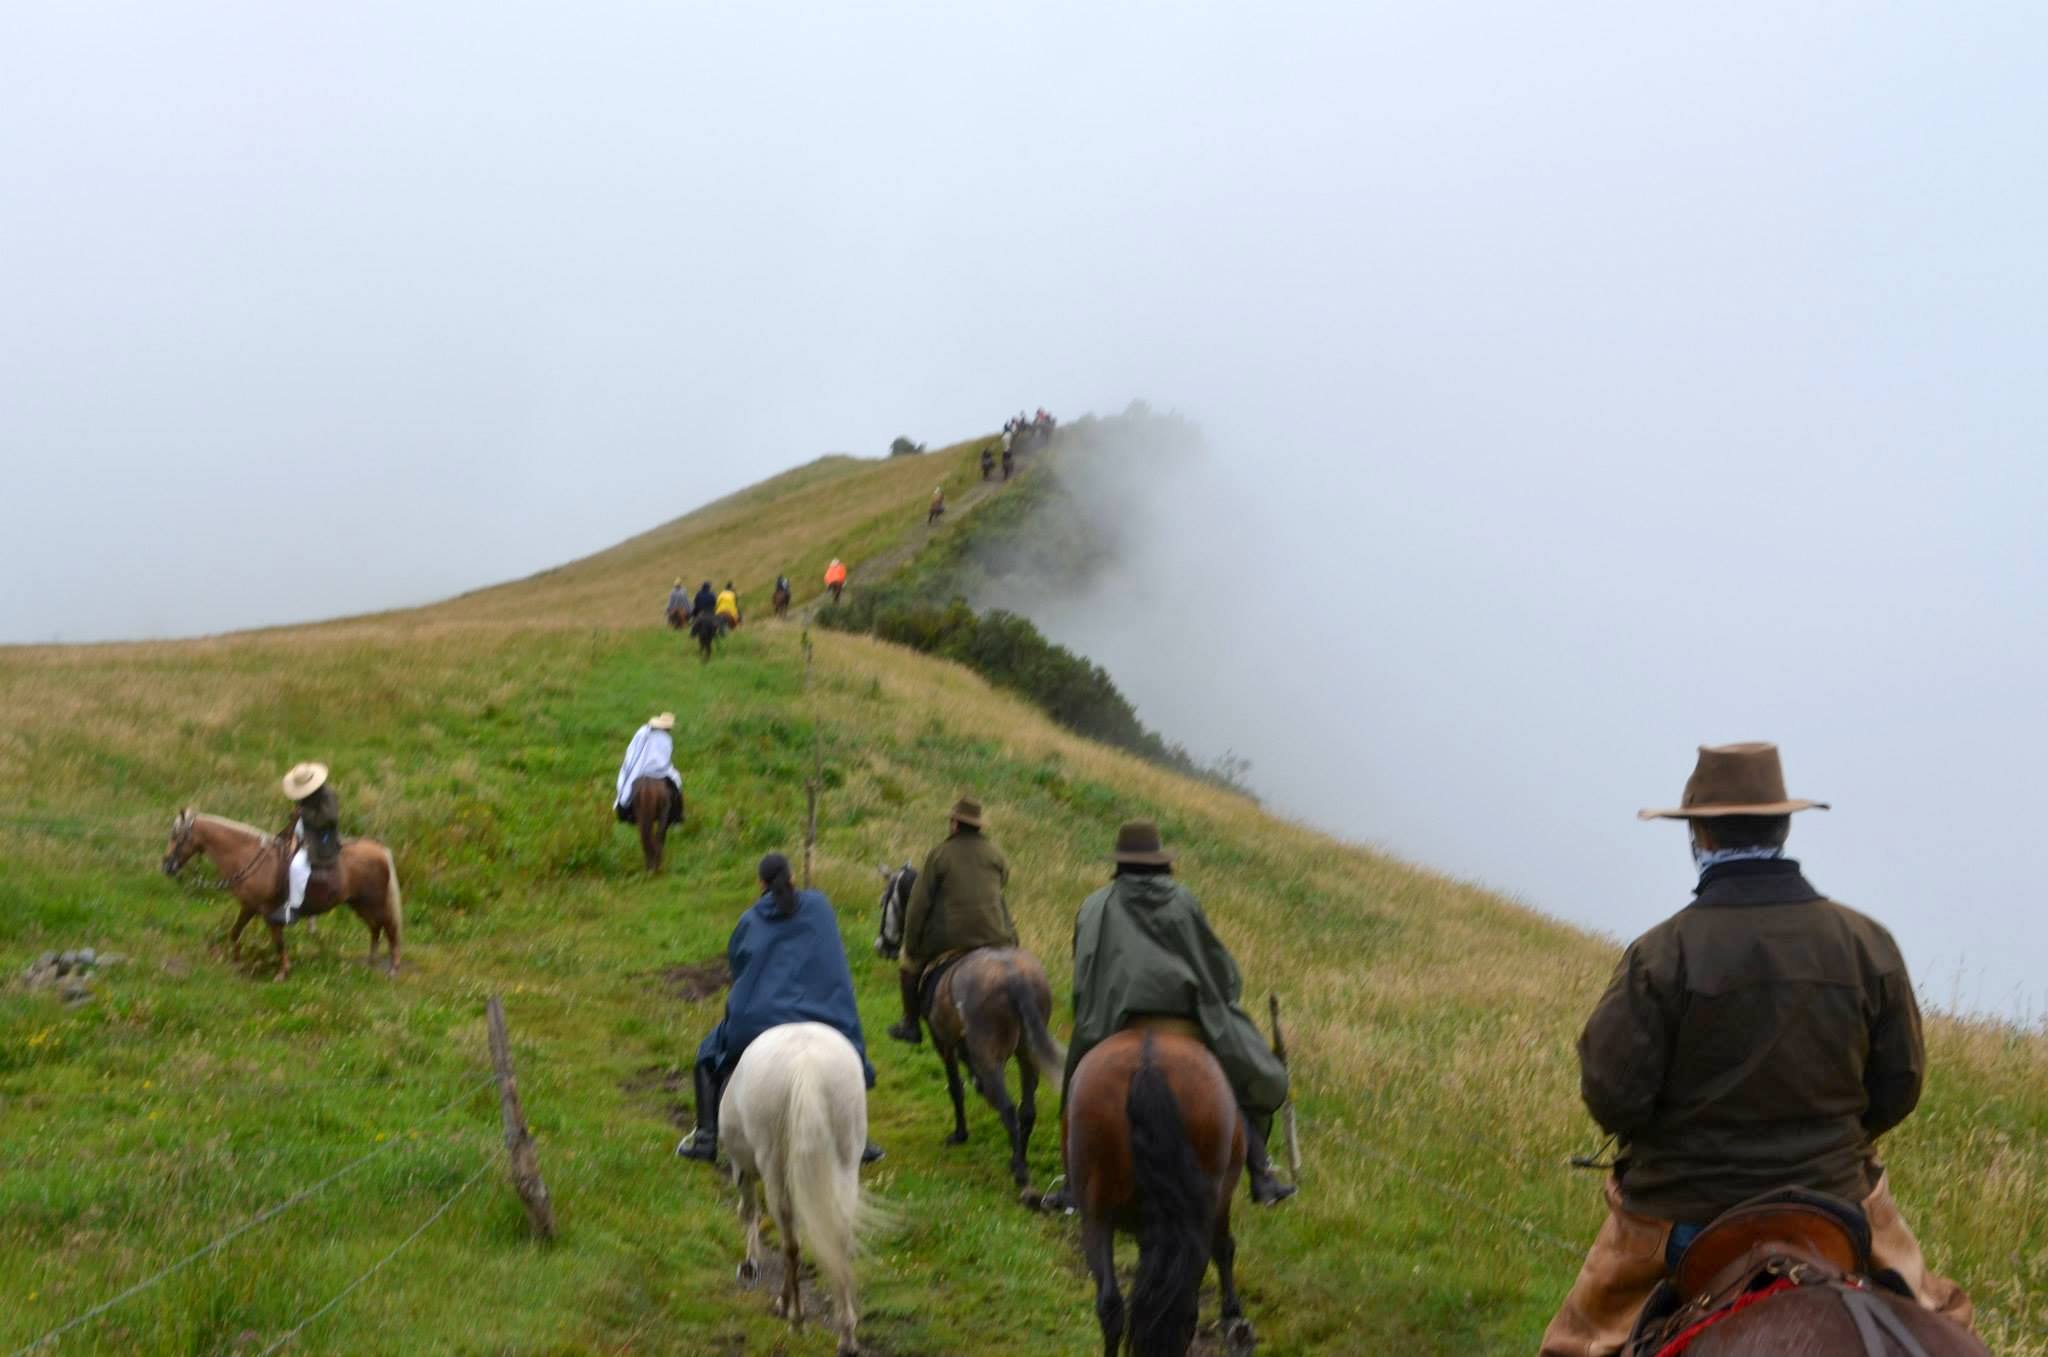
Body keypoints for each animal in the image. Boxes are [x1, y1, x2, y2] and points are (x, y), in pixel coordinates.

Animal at [161, 806, 401, 978]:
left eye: (176, 836)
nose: (167, 866)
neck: (247, 855)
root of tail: (379, 850)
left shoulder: (267, 911)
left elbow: (278, 942)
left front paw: (282, 972)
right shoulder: (249, 906)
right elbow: (235, 932)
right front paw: (236, 960)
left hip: (375, 903)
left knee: (390, 928)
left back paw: (393, 968)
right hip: (359, 904)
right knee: (375, 928)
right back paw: (371, 962)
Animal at [724, 1023, 868, 1350]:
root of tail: (807, 1068)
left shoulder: (743, 1167)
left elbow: (749, 1211)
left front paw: (752, 1263)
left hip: (773, 1167)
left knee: (791, 1243)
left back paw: (795, 1317)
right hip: (845, 1163)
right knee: (839, 1239)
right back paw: (847, 1335)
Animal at [872, 871, 1064, 1187]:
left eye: (885, 900)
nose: (882, 947)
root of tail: (1014, 977)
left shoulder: (943, 1041)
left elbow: (955, 1087)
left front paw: (960, 1134)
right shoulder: (963, 1045)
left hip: (990, 1056)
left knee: (1008, 1109)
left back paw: (1019, 1169)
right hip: (1027, 1053)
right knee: (1026, 1110)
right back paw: (1020, 1159)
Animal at [1064, 1031, 1253, 1357]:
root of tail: (1148, 1064)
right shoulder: (1219, 1204)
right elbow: (1225, 1248)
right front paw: (1232, 1314)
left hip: (1096, 1212)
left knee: (1110, 1305)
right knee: (1185, 1309)